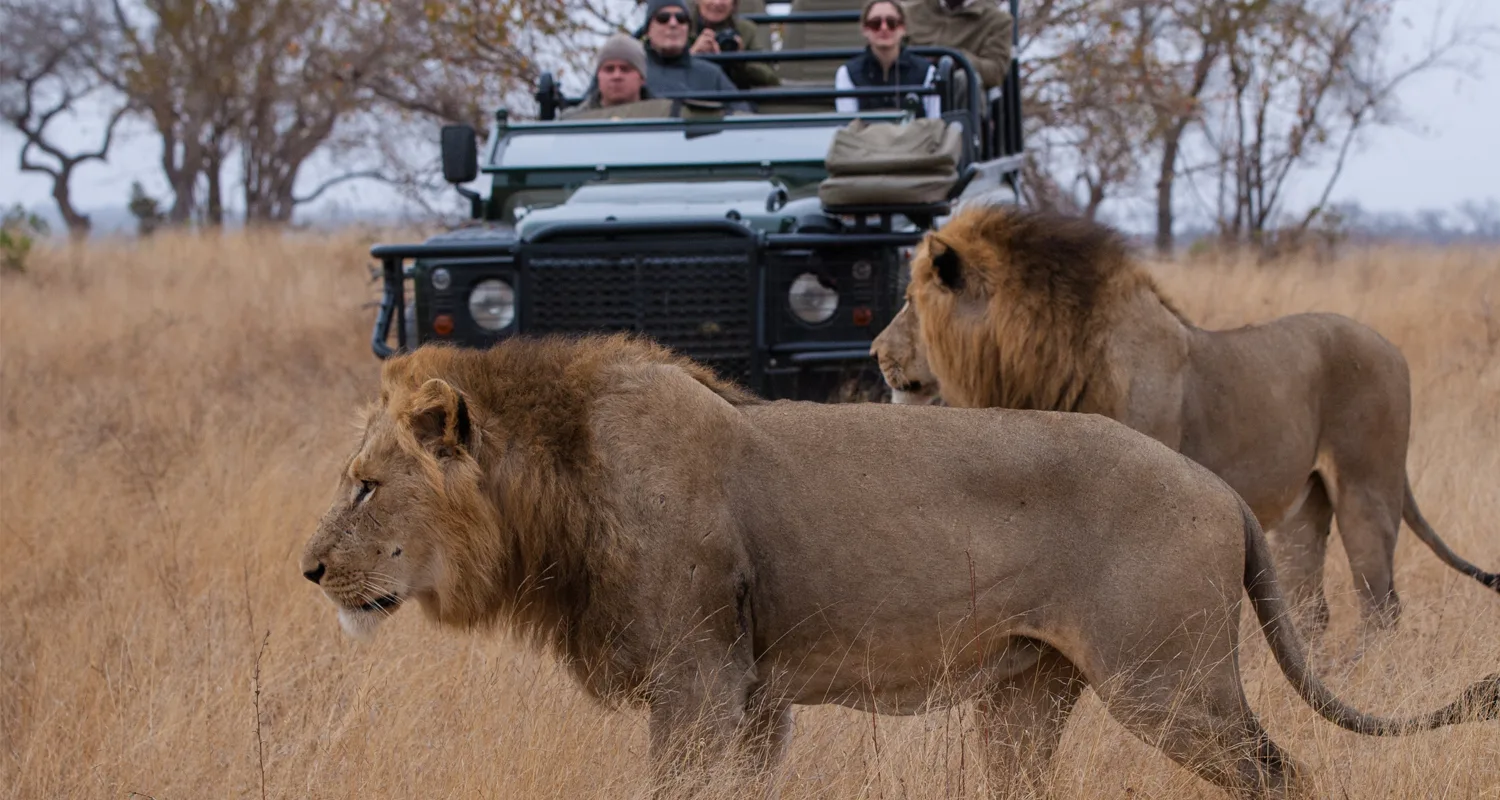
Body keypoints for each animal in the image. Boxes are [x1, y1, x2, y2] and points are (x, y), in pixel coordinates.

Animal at [301, 334, 1499, 798]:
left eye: (364, 484)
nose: (308, 572)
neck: (558, 484)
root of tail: (1220, 492)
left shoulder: (695, 683)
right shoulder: (751, 697)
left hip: (1170, 685)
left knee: (1279, 771)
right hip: (1029, 693)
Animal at [871, 205, 1500, 633]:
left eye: (909, 300)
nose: (876, 353)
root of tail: (1391, 347)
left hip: (1368, 488)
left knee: (1379, 604)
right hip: (1306, 506)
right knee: (1311, 607)